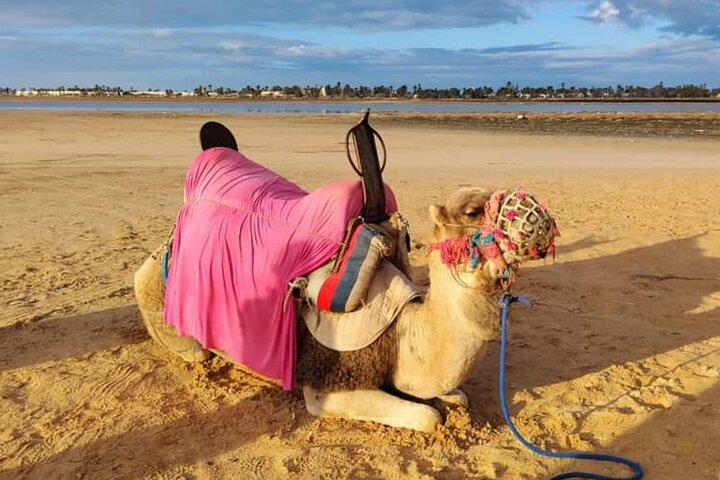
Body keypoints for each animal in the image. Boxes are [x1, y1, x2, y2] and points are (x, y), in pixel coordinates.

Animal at [135, 187, 516, 432]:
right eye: (472, 211)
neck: (401, 331)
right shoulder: (326, 386)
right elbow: (429, 417)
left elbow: (456, 396)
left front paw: (451, 398)